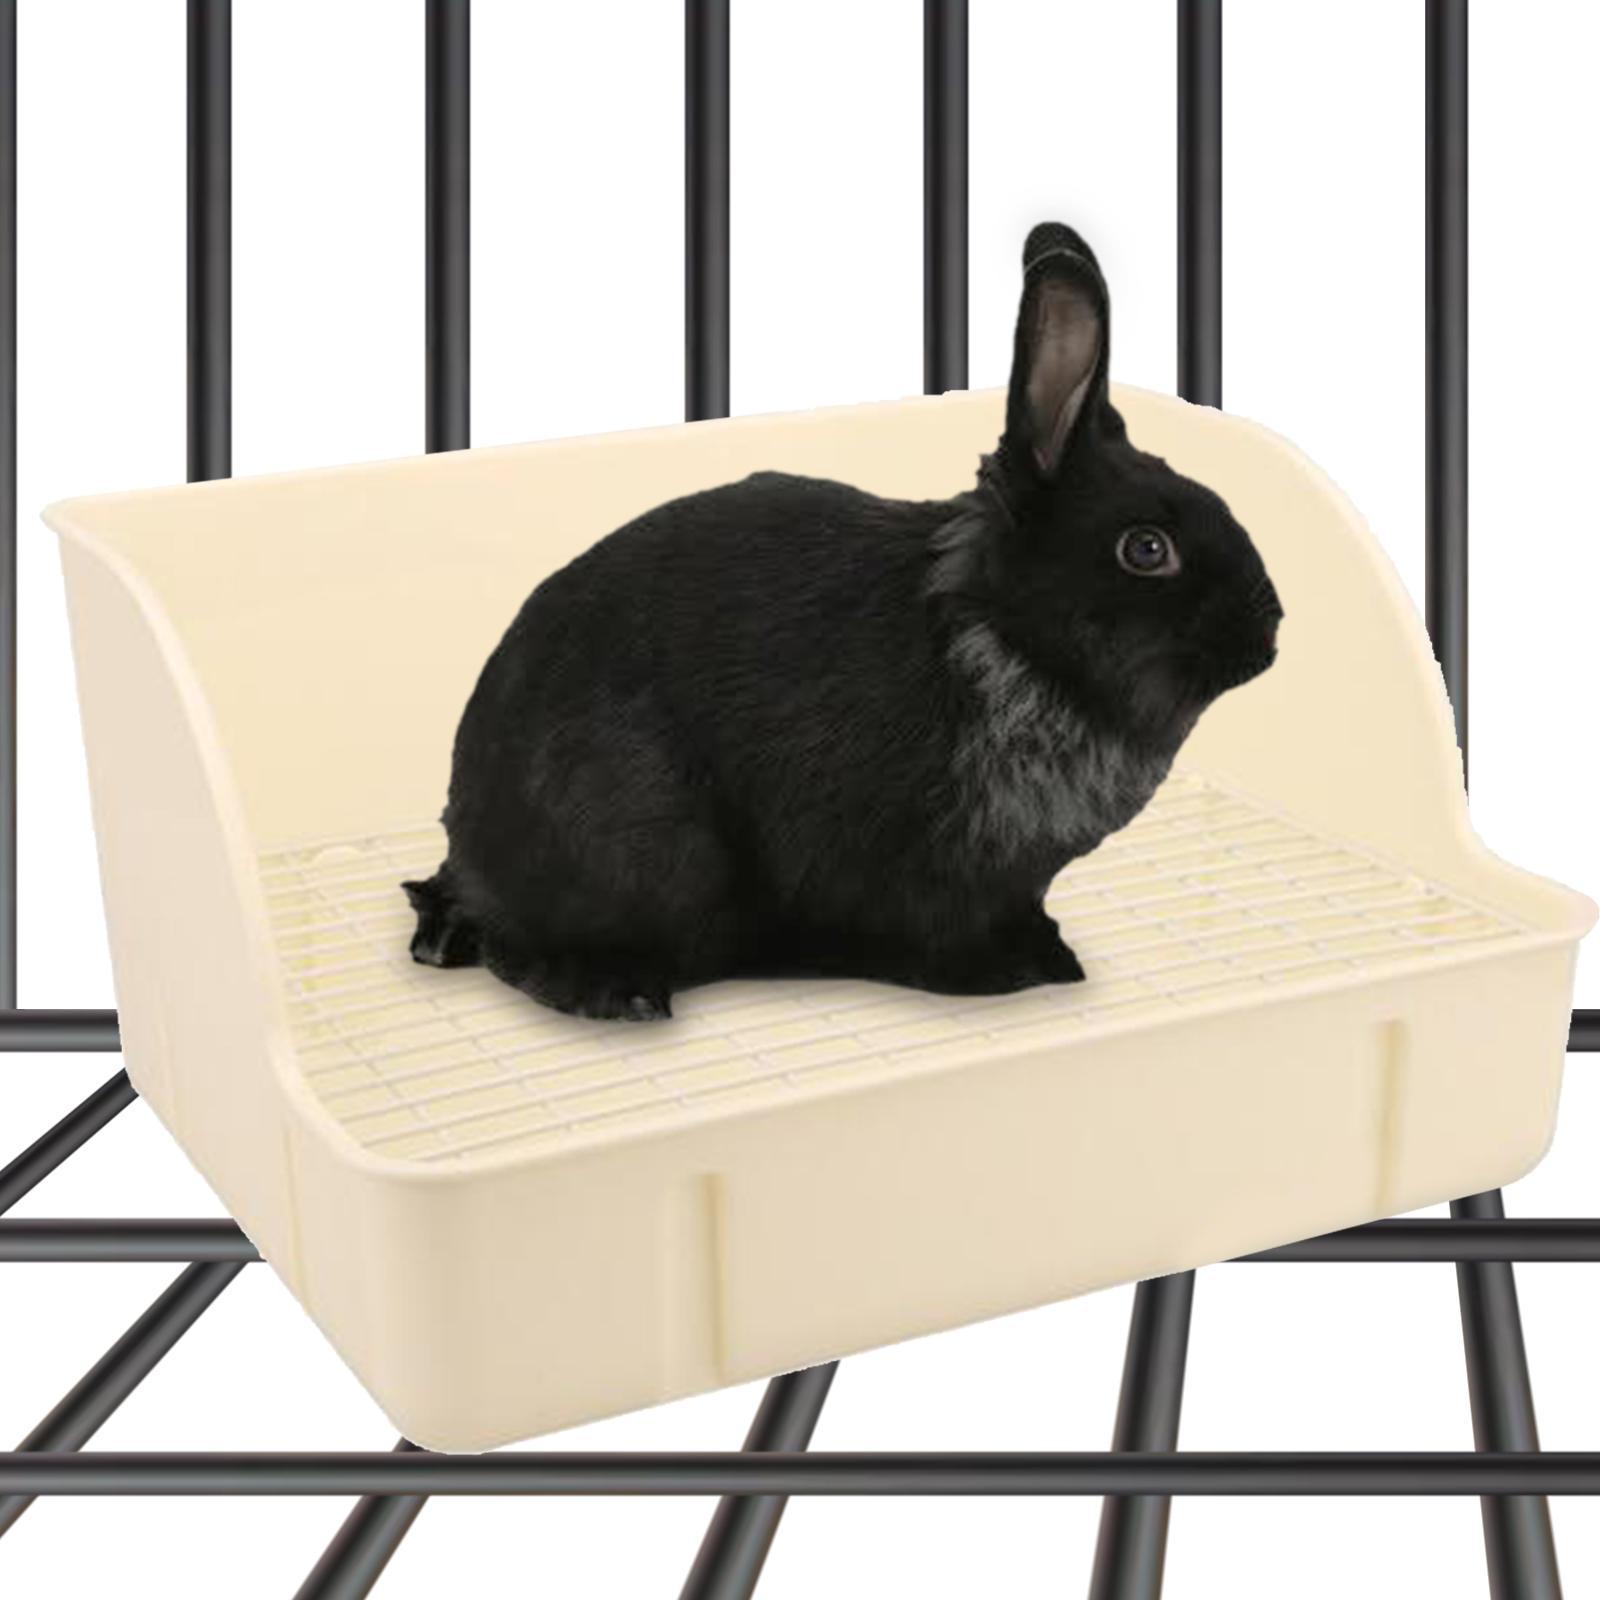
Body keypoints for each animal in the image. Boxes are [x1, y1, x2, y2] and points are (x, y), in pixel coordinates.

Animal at [403, 222, 1283, 1022]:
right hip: (642, 846)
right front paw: (1011, 975)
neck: (1002, 643)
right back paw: (620, 994)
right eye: (1147, 548)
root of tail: (467, 846)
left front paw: (1051, 955)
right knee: (526, 950)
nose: (1270, 630)